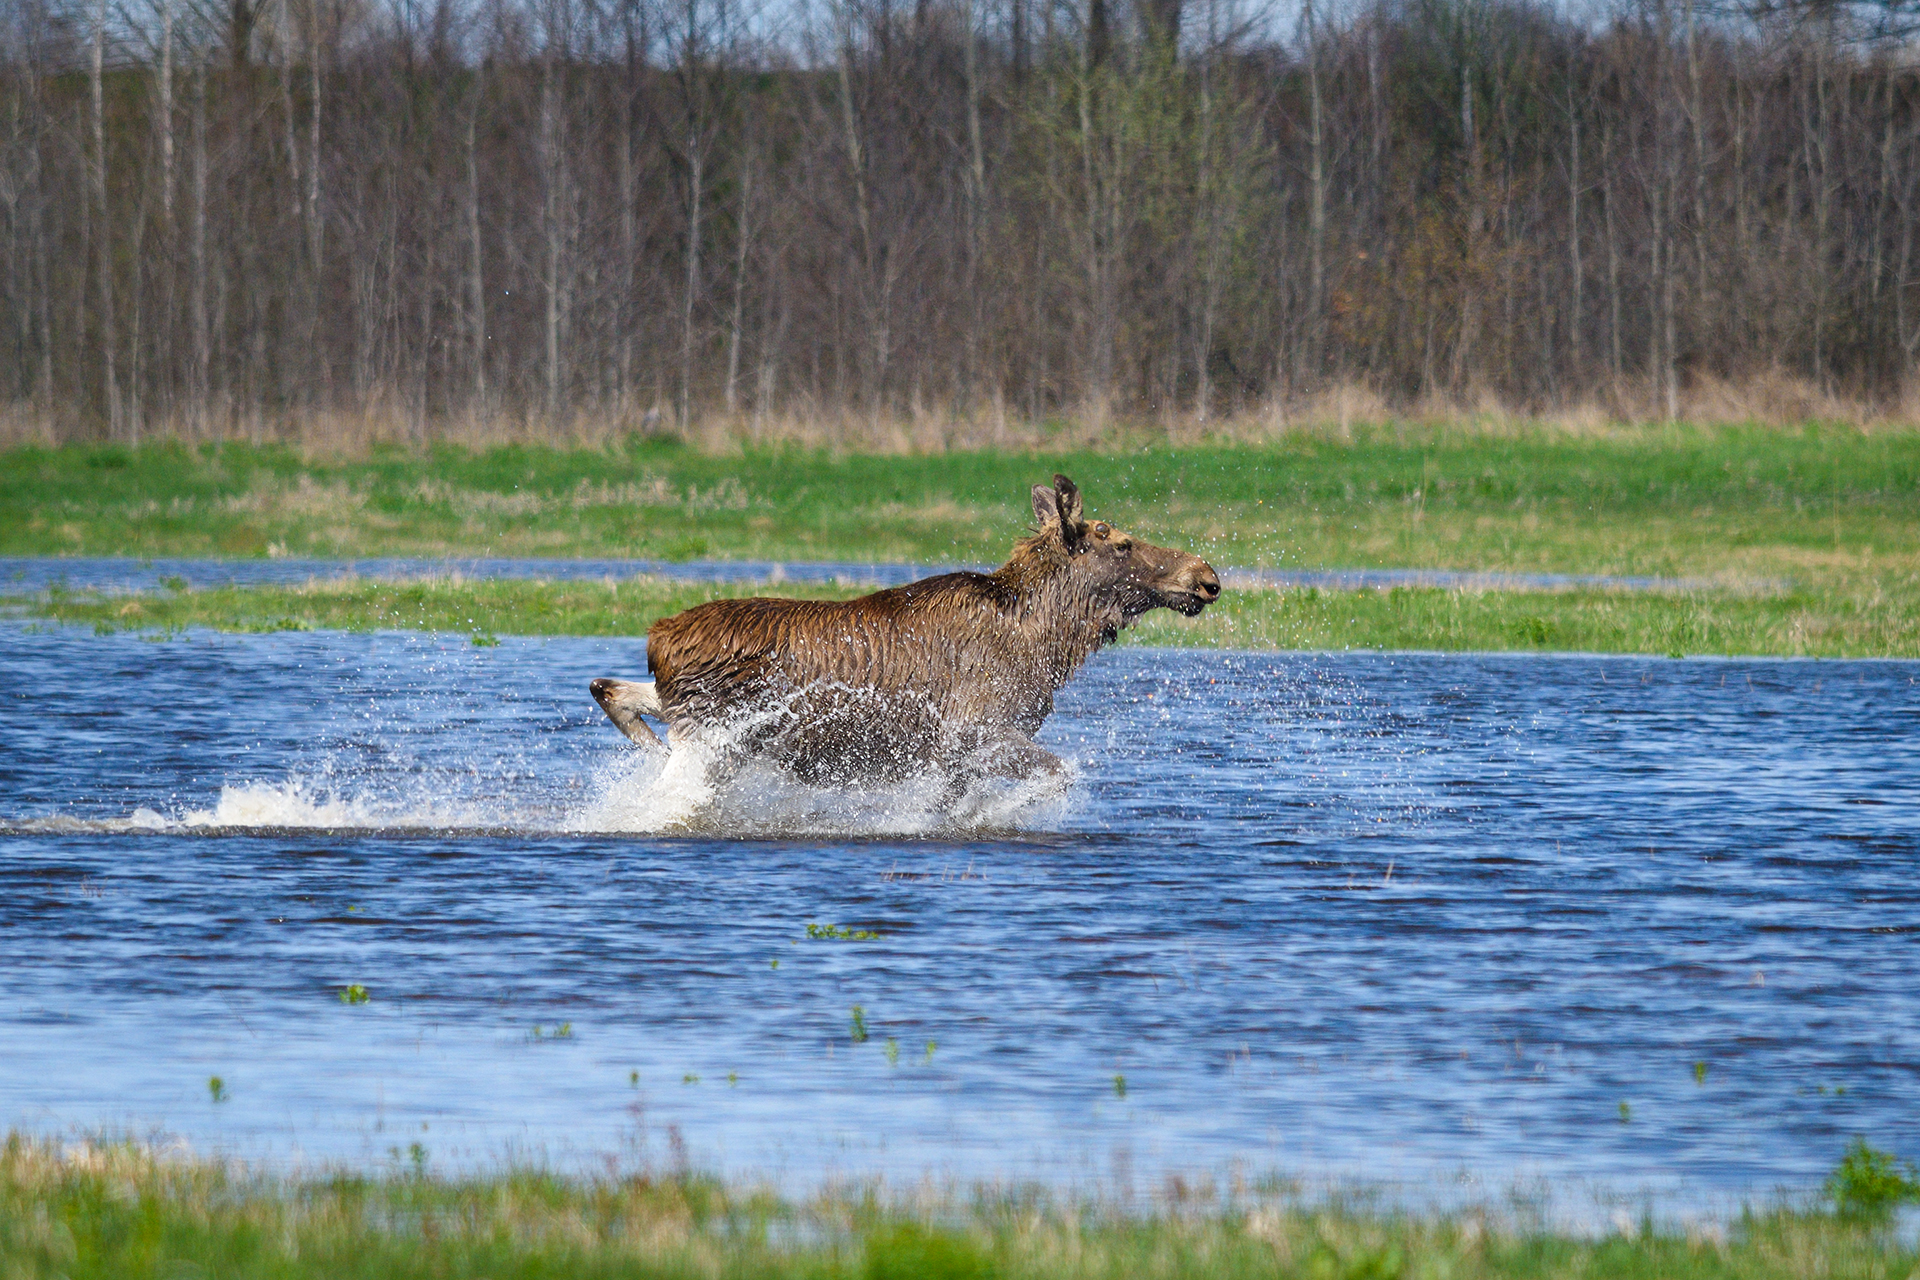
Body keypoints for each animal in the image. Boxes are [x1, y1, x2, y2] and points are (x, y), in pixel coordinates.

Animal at [587, 474, 1213, 786]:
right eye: (1121, 542)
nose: (1206, 577)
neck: (1048, 643)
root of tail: (658, 640)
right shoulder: (977, 729)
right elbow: (1057, 776)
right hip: (712, 741)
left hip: (683, 713)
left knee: (608, 687)